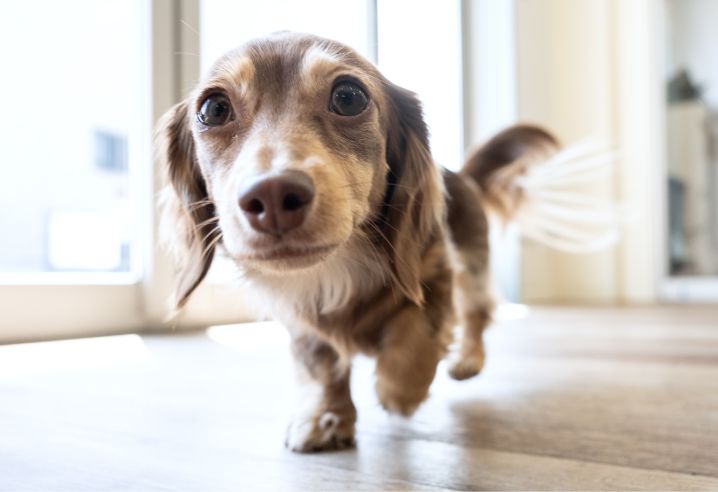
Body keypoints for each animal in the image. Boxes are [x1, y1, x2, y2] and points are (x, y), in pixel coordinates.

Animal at [158, 31, 564, 454]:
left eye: (349, 97)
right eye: (214, 109)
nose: (272, 197)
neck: (336, 268)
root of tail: (462, 174)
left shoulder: (436, 271)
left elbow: (414, 334)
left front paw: (401, 391)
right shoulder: (302, 319)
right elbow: (319, 363)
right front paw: (325, 416)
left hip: (471, 262)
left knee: (476, 311)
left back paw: (468, 359)